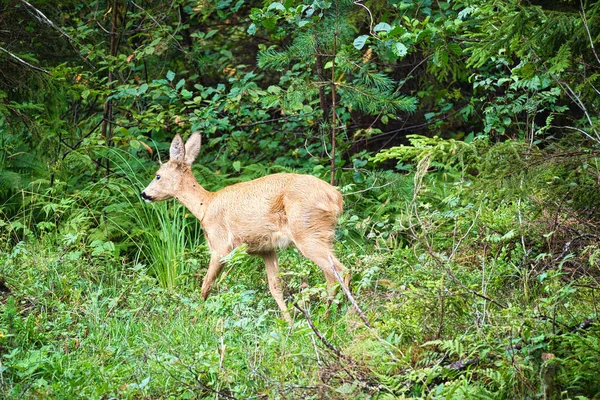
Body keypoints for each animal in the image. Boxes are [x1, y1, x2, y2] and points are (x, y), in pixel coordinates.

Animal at [142, 133, 352, 324]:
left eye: (158, 176)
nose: (144, 194)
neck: (205, 207)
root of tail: (336, 198)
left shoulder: (220, 246)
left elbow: (206, 285)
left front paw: (195, 318)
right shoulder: (267, 249)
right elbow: (275, 287)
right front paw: (288, 322)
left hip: (307, 231)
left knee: (342, 271)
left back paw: (344, 315)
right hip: (321, 234)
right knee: (331, 276)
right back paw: (327, 316)